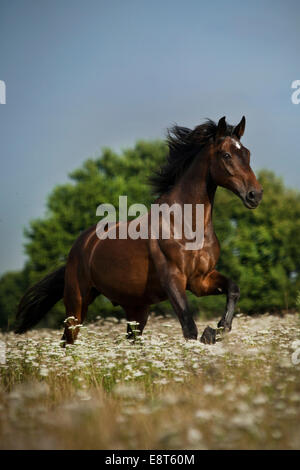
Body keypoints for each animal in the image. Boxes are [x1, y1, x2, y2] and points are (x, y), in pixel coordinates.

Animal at [14, 116, 262, 346]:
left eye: (247, 154)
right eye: (226, 155)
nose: (255, 195)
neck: (185, 226)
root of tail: (81, 244)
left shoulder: (200, 280)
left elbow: (233, 289)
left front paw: (217, 330)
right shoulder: (173, 280)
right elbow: (188, 327)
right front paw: (206, 337)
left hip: (136, 309)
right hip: (77, 301)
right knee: (68, 339)